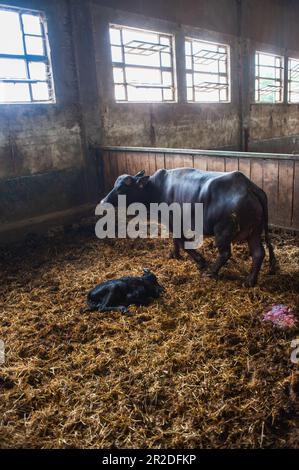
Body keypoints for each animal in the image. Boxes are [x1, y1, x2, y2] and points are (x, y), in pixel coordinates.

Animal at [102, 169, 278, 286]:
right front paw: (174, 255)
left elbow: (182, 242)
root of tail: (249, 186)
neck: (156, 188)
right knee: (258, 253)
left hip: (223, 231)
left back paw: (211, 272)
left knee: (225, 253)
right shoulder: (172, 223)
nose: (103, 201)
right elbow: (176, 241)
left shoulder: (175, 221)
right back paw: (250, 281)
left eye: (121, 188)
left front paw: (200, 261)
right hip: (254, 231)